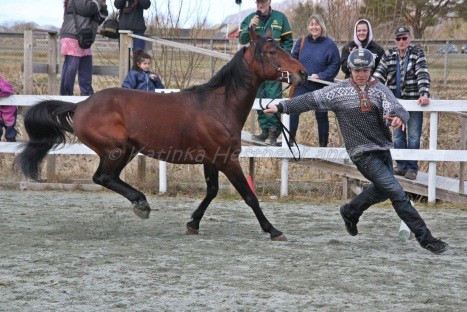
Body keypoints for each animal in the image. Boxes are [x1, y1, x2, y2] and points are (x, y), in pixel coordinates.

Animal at [15, 28, 308, 239]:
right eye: (272, 50)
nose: (302, 73)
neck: (218, 106)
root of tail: (81, 105)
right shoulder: (227, 160)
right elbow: (249, 196)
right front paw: (273, 230)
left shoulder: (212, 160)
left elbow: (212, 191)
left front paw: (193, 223)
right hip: (117, 149)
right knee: (102, 177)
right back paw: (141, 204)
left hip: (127, 150)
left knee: (108, 178)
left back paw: (141, 204)